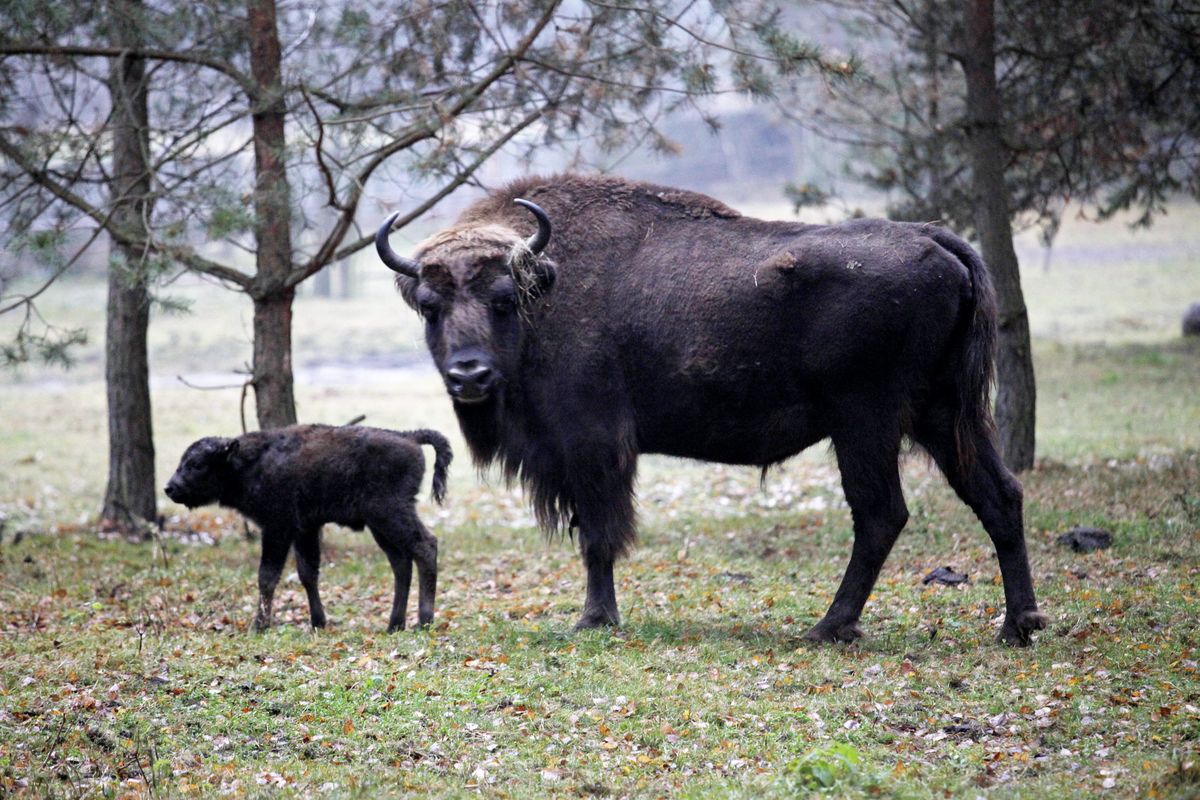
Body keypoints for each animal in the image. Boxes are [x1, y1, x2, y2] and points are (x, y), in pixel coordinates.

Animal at [166, 422, 451, 633]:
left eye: (197, 464)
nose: (170, 487)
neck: (247, 463)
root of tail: (409, 437)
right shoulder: (305, 530)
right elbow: (307, 573)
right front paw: (317, 623)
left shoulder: (277, 529)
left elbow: (267, 576)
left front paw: (259, 626)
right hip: (380, 525)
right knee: (401, 563)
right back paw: (394, 625)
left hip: (390, 514)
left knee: (425, 547)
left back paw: (424, 622)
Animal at [379, 173, 1046, 642]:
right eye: (431, 305)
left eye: (500, 298)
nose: (469, 374)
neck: (544, 286)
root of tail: (935, 238)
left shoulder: (592, 445)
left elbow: (597, 533)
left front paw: (595, 618)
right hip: (945, 415)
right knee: (998, 495)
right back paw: (1018, 626)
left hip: (867, 422)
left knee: (881, 513)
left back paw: (828, 627)